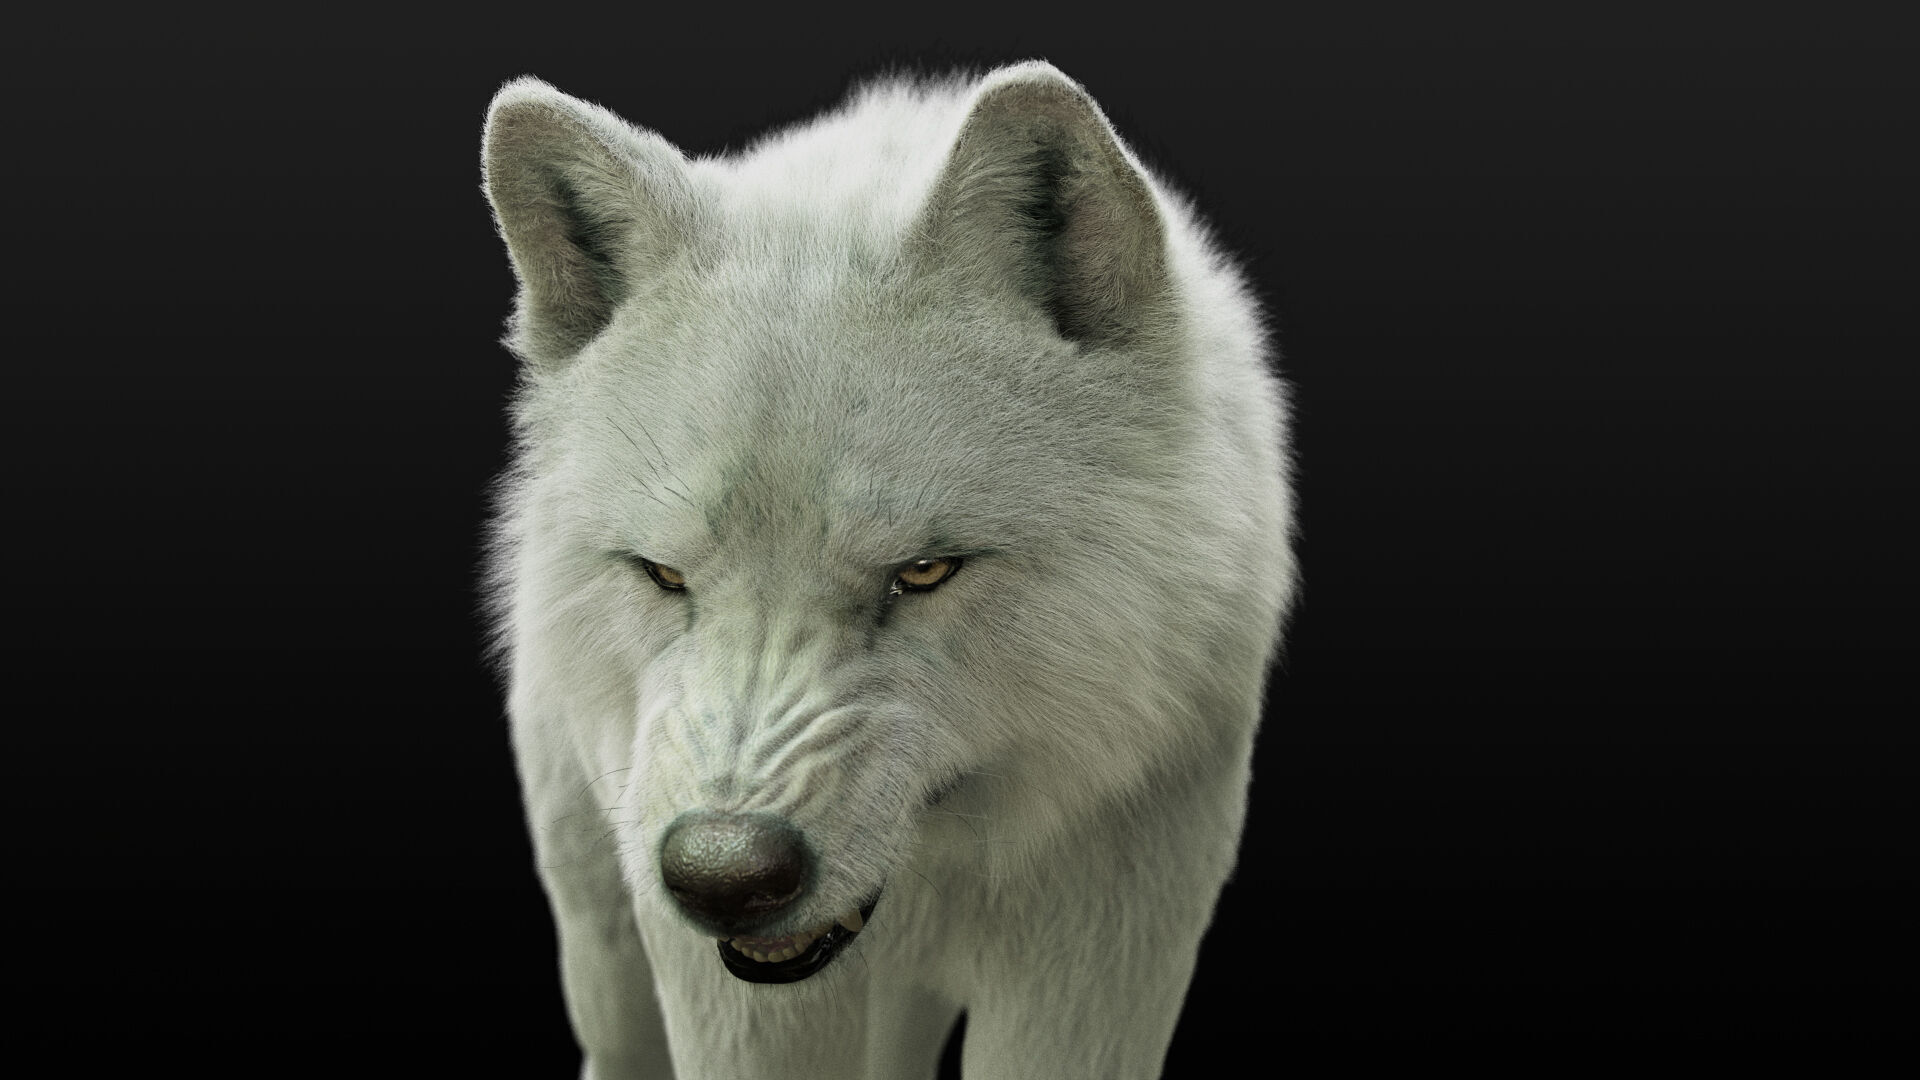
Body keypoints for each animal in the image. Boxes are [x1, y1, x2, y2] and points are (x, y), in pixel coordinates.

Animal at [480, 61, 1296, 1079]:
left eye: (928, 569)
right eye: (665, 575)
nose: (722, 874)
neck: (938, 875)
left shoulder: (1098, 950)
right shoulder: (730, 988)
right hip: (604, 933)